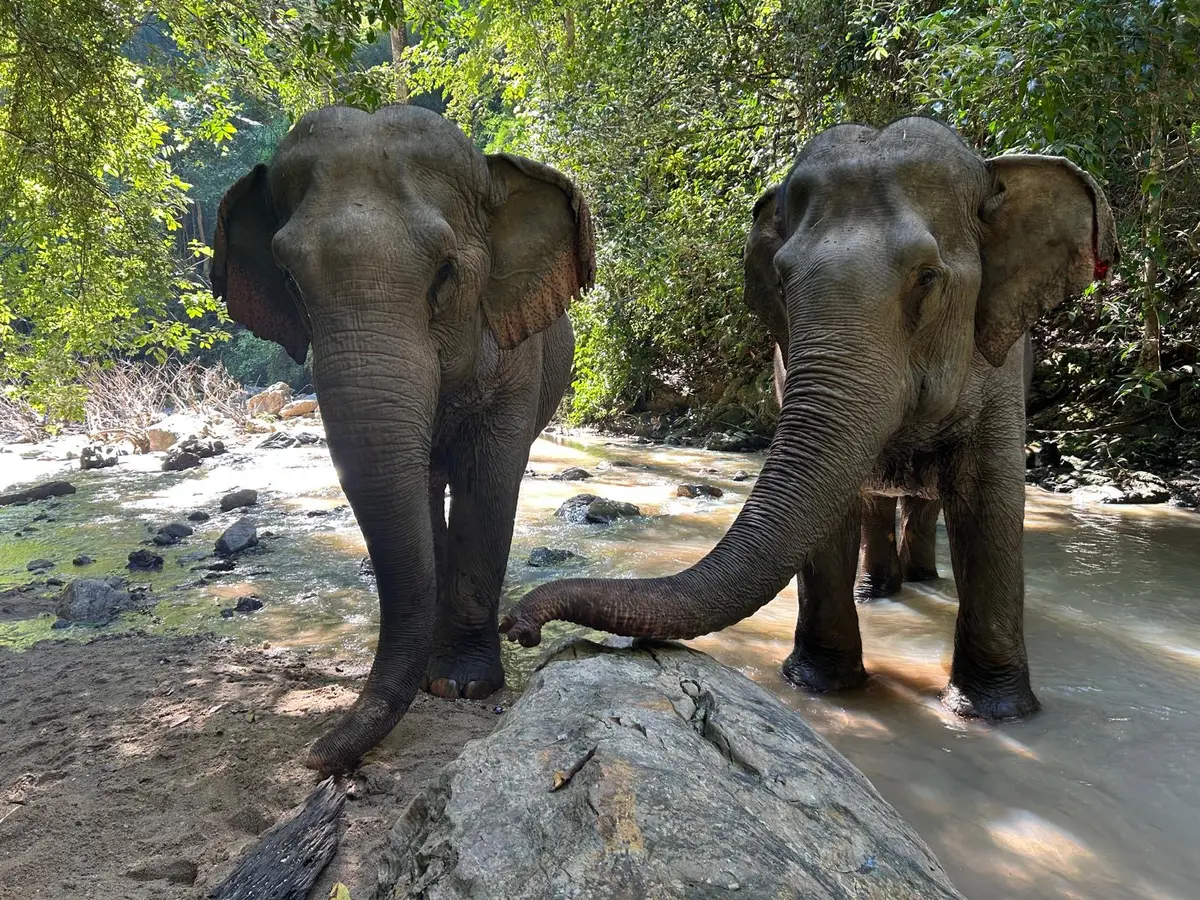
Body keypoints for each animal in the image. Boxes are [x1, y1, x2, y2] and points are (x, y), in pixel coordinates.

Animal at [211, 105, 594, 773]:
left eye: (446, 272)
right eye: (288, 276)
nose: (313, 756)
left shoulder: (517, 359)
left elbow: (489, 483)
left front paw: (463, 684)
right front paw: (439, 677)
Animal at [501, 117, 1116, 721]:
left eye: (927, 276)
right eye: (782, 279)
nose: (518, 627)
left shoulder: (1002, 368)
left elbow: (989, 502)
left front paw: (998, 712)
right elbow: (831, 512)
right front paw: (822, 684)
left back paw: (920, 582)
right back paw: (878, 591)